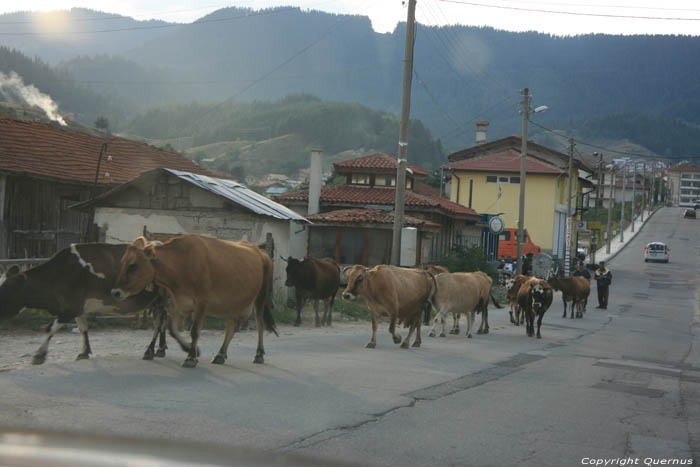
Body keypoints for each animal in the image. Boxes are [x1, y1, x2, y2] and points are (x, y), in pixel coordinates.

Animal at [0, 245, 167, 366]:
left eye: (5, 290)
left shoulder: (70, 308)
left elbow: (50, 328)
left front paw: (39, 355)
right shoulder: (77, 307)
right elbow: (83, 328)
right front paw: (85, 352)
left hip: (162, 300)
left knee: (159, 324)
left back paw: (150, 351)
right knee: (163, 324)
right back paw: (160, 349)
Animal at [112, 236, 276, 368]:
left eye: (133, 265)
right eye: (123, 262)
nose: (115, 292)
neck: (182, 263)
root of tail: (260, 252)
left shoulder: (201, 302)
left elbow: (194, 331)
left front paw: (190, 357)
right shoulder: (178, 303)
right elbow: (171, 329)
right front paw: (191, 350)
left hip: (260, 298)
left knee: (260, 324)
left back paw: (259, 354)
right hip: (231, 303)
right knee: (231, 327)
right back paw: (220, 355)